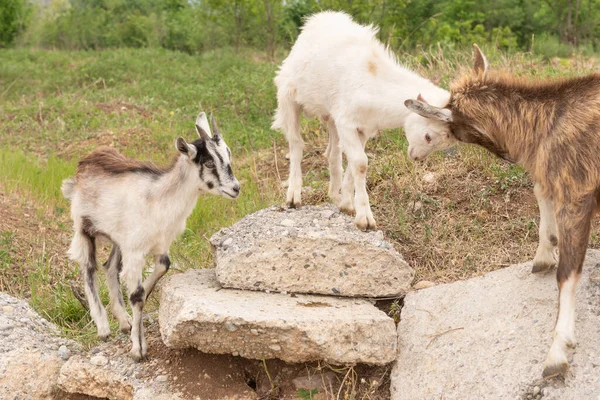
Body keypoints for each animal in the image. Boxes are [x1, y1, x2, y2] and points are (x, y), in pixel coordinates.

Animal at [61, 111, 239, 360]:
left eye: (228, 154)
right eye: (210, 162)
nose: (236, 188)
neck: (160, 198)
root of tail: (85, 162)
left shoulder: (158, 245)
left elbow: (160, 270)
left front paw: (136, 323)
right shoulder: (135, 251)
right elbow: (136, 295)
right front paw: (138, 349)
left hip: (120, 239)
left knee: (110, 266)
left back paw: (123, 320)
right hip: (83, 227)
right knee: (89, 268)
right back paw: (103, 327)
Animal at [272, 10, 454, 230]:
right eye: (429, 136)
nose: (416, 157)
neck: (373, 81)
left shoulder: (362, 128)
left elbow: (353, 164)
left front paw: (347, 205)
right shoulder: (347, 123)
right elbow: (360, 163)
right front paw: (365, 219)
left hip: (331, 117)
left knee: (333, 154)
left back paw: (334, 195)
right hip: (288, 97)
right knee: (296, 144)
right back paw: (293, 196)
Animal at [404, 45, 600, 380]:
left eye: (453, 127)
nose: (415, 153)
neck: (546, 122)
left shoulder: (576, 191)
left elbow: (567, 272)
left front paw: (557, 351)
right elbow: (540, 190)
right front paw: (544, 252)